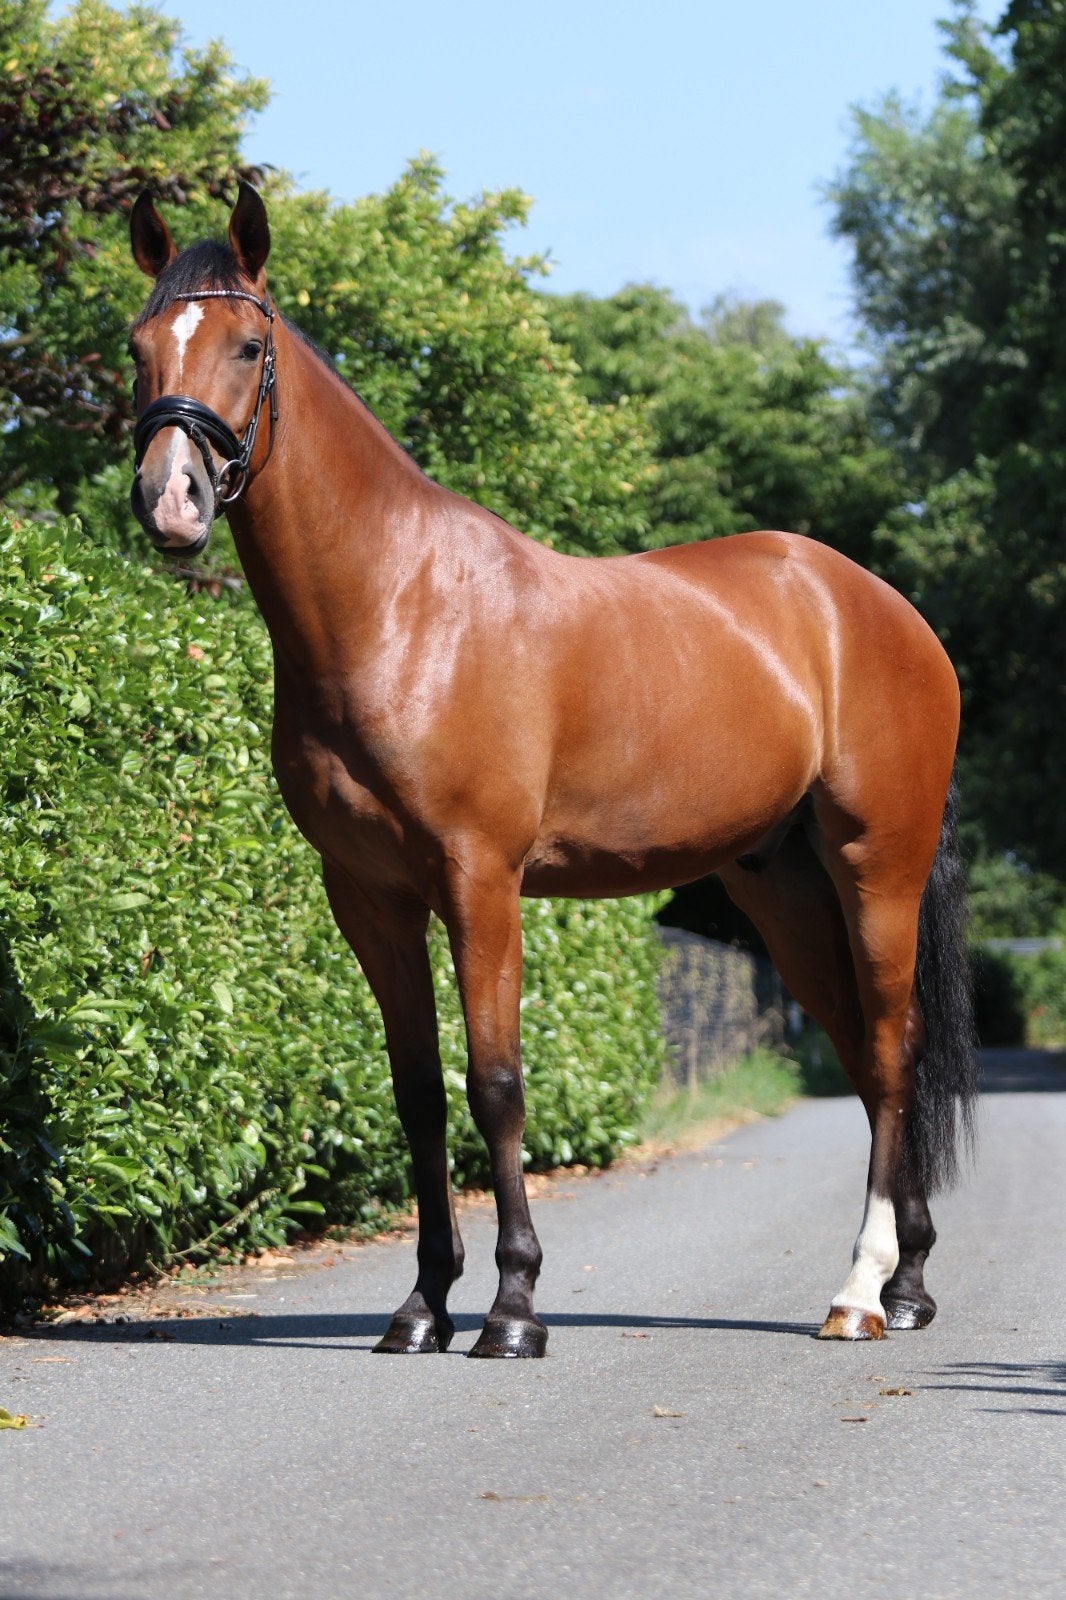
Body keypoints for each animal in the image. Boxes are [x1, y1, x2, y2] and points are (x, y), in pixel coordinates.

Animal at [126, 183, 977, 1358]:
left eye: (249, 347)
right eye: (138, 347)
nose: (171, 500)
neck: (397, 606)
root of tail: (884, 610)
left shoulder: (480, 880)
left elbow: (495, 1083)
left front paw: (514, 1308)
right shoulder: (370, 895)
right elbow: (417, 1094)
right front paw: (421, 1307)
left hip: (875, 869)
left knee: (894, 1055)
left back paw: (857, 1294)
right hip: (786, 891)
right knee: (861, 1051)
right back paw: (909, 1281)